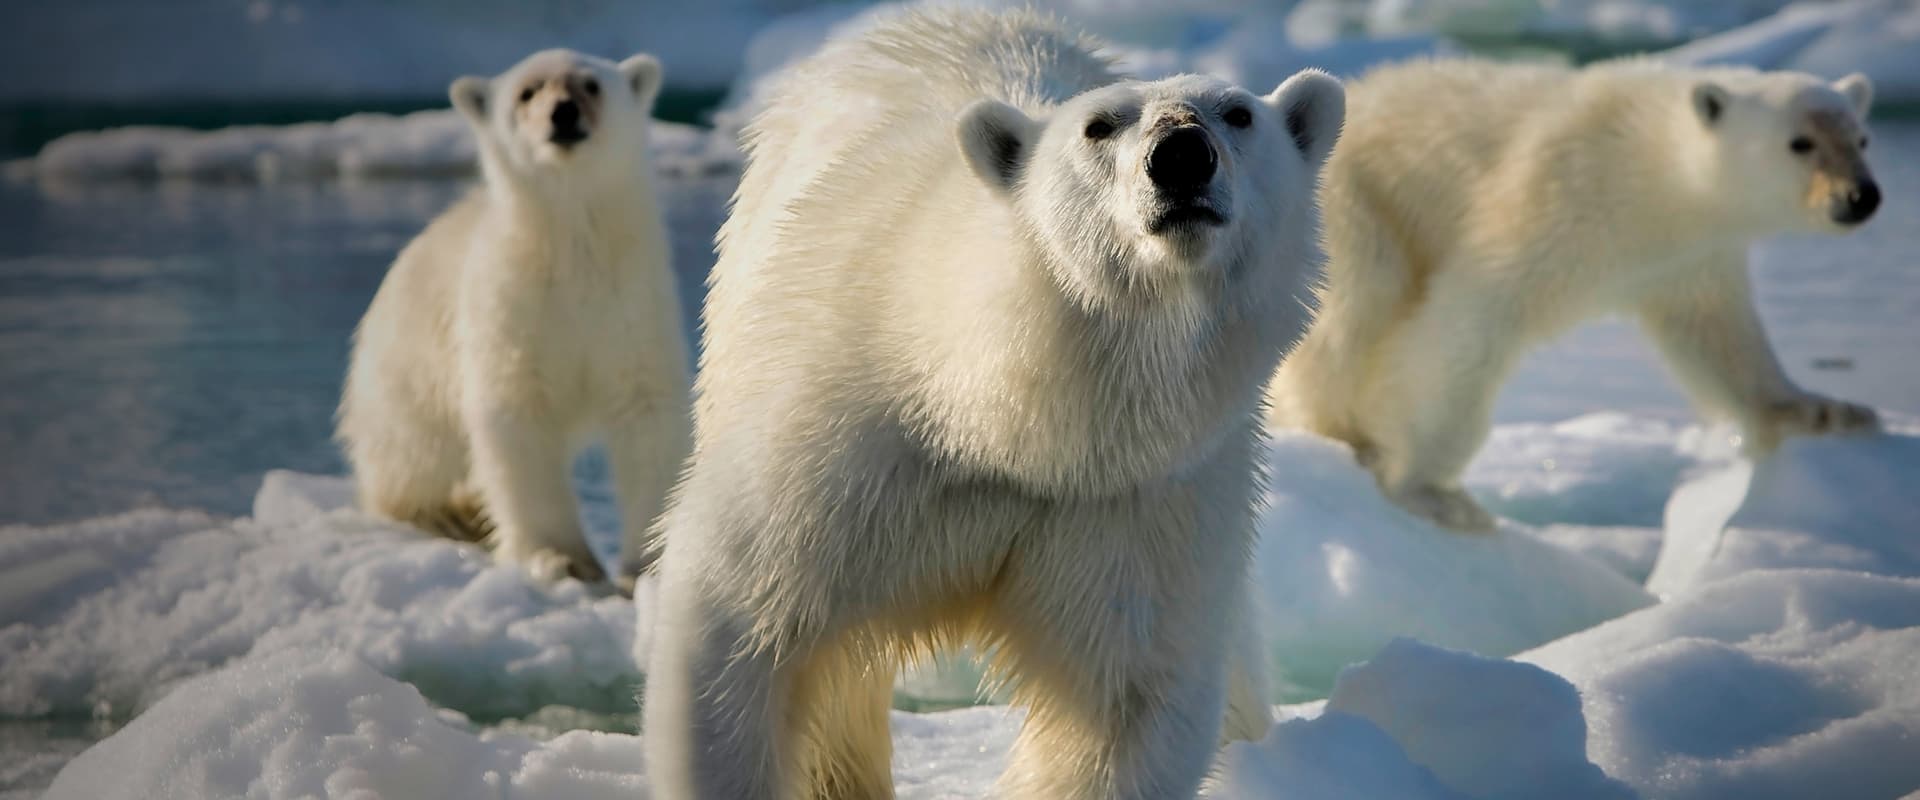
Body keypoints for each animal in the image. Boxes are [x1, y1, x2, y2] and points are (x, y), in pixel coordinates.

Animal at [341, 51, 695, 587]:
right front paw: (561, 557)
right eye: (528, 92)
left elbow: (647, 413)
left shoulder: (632, 303)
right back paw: (448, 513)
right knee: (414, 454)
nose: (563, 113)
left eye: (591, 85)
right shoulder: (511, 310)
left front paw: (648, 563)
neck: (571, 248)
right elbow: (516, 416)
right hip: (404, 376)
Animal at [637, 7, 1344, 798]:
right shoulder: (836, 451)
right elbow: (740, 622)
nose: (1183, 155)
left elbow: (1126, 698)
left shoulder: (1140, 500)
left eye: (1238, 112)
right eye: (1099, 126)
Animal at [1267, 60, 1881, 529]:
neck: (1650, 169)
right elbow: (1468, 320)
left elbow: (1720, 336)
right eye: (1800, 143)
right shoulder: (1556, 197)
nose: (1861, 196)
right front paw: (1429, 490)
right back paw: (1335, 435)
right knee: (1351, 315)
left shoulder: (1688, 259)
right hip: (1353, 208)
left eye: (1861, 138)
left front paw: (1826, 411)